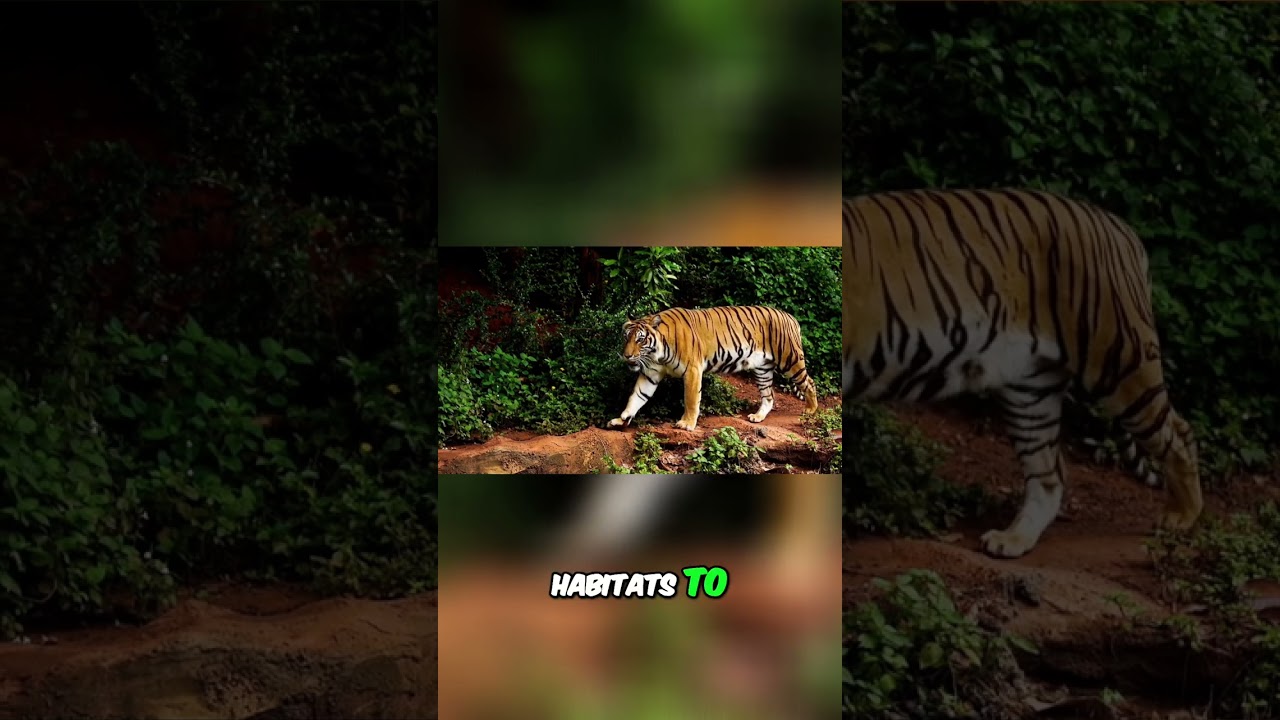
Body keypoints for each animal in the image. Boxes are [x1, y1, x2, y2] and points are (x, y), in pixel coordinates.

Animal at [609, 305, 820, 431]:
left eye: (640, 339)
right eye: (626, 338)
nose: (627, 355)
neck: (656, 354)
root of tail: (791, 317)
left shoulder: (692, 370)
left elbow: (691, 400)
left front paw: (686, 424)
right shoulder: (650, 374)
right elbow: (636, 397)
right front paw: (621, 419)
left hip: (789, 359)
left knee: (809, 382)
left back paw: (810, 410)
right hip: (762, 369)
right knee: (769, 395)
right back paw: (758, 416)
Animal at [843, 188, 1203, 559]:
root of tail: (1121, 227)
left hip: (1118, 360)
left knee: (1179, 433)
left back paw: (1181, 518)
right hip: (1031, 387)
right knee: (1049, 474)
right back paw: (1013, 540)